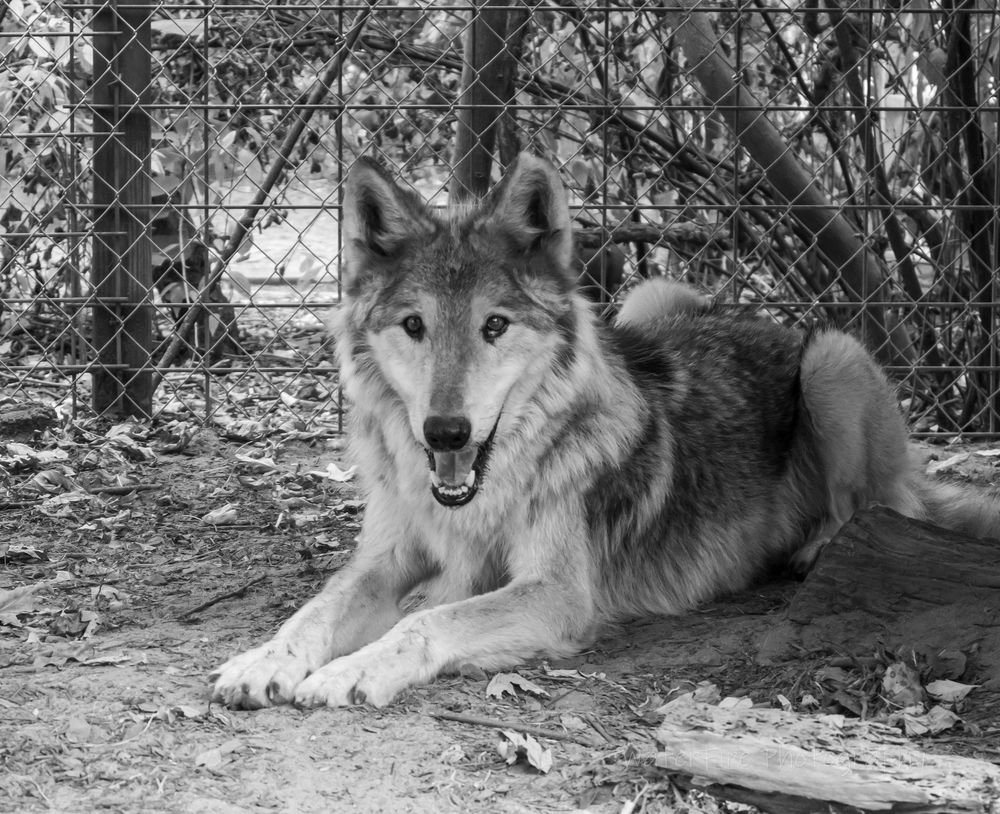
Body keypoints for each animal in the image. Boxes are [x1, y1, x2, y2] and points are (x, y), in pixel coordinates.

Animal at [210, 153, 1000, 709]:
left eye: (494, 326)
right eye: (414, 325)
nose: (445, 432)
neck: (485, 496)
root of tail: (757, 320)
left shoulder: (559, 596)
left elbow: (423, 621)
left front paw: (351, 670)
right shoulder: (387, 556)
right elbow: (313, 609)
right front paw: (263, 661)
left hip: (833, 358)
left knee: (875, 507)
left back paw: (814, 547)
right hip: (650, 300)